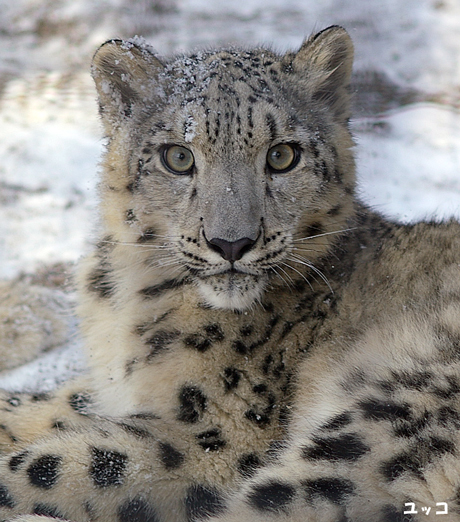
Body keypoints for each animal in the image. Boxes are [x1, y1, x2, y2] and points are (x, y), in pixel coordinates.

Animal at [0, 23, 460, 520]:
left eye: (282, 155)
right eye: (178, 156)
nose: (231, 243)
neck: (130, 299)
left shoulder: (217, 438)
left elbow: (55, 465)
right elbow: (52, 402)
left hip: (376, 426)